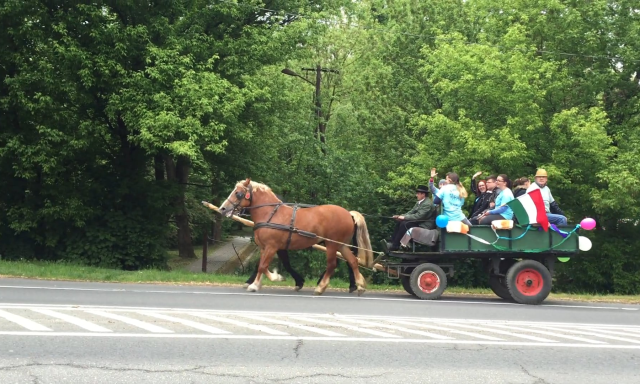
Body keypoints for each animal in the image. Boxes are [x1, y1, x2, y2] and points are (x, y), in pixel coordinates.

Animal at [219, 178, 376, 296]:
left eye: (238, 193)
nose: (223, 208)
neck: (271, 214)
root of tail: (348, 213)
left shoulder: (272, 246)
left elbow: (263, 266)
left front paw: (274, 278)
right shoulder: (265, 247)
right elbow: (261, 266)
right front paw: (256, 284)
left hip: (331, 244)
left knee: (332, 265)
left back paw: (321, 288)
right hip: (341, 244)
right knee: (353, 261)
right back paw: (360, 286)